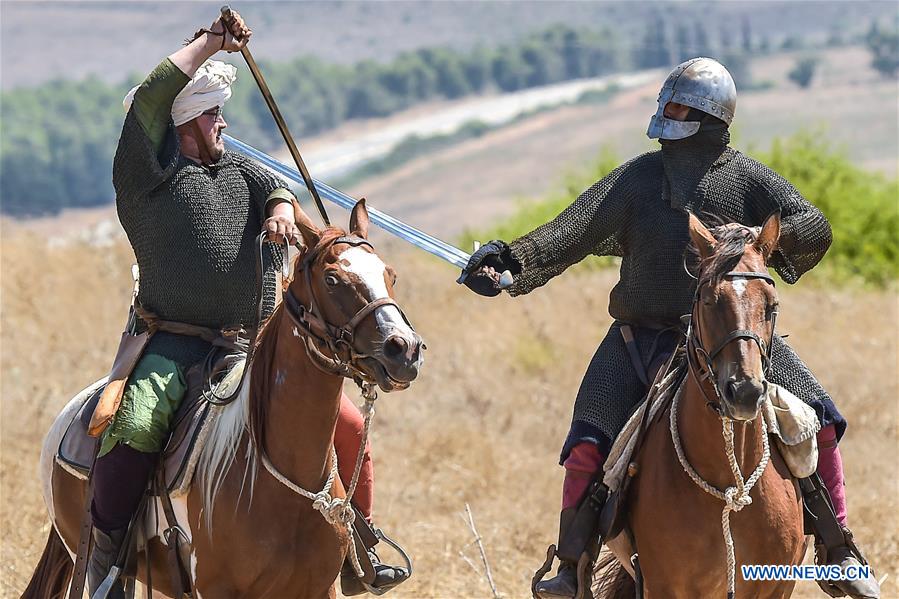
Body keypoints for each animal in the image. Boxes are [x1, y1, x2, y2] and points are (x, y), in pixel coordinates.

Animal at [23, 200, 426, 599]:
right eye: (332, 279)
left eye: (389, 275)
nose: (404, 350)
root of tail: (67, 417)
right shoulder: (216, 588)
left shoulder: (318, 587)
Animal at [600, 212, 804, 599]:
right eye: (709, 301)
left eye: (771, 306)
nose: (744, 391)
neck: (727, 487)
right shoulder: (664, 587)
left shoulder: (777, 585)